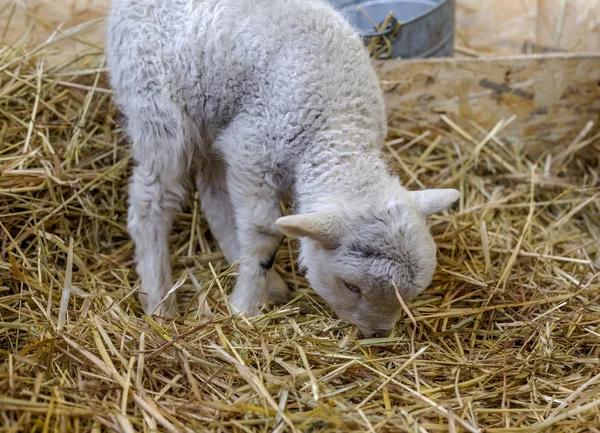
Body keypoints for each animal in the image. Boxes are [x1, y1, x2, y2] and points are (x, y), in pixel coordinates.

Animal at [105, 0, 460, 338]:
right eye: (351, 286)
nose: (378, 334)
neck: (337, 124)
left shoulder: (242, 144)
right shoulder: (252, 149)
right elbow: (264, 233)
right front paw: (245, 308)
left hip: (212, 114)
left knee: (213, 194)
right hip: (155, 104)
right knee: (152, 200)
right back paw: (159, 302)